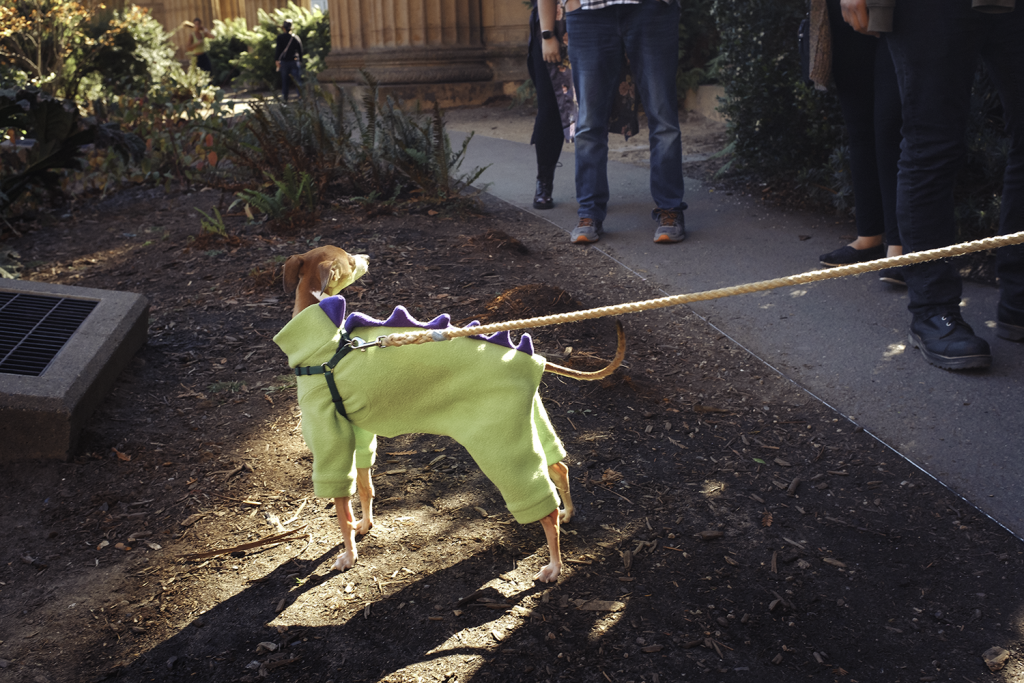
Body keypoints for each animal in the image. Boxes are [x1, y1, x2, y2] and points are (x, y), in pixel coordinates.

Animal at [274, 245, 625, 582]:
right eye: (349, 259)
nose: (366, 257)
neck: (326, 346)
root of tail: (534, 359)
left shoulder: (330, 442)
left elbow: (341, 513)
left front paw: (348, 556)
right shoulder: (358, 434)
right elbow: (365, 487)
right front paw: (365, 525)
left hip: (499, 441)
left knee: (543, 506)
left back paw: (554, 565)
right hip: (529, 418)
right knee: (559, 468)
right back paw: (568, 513)